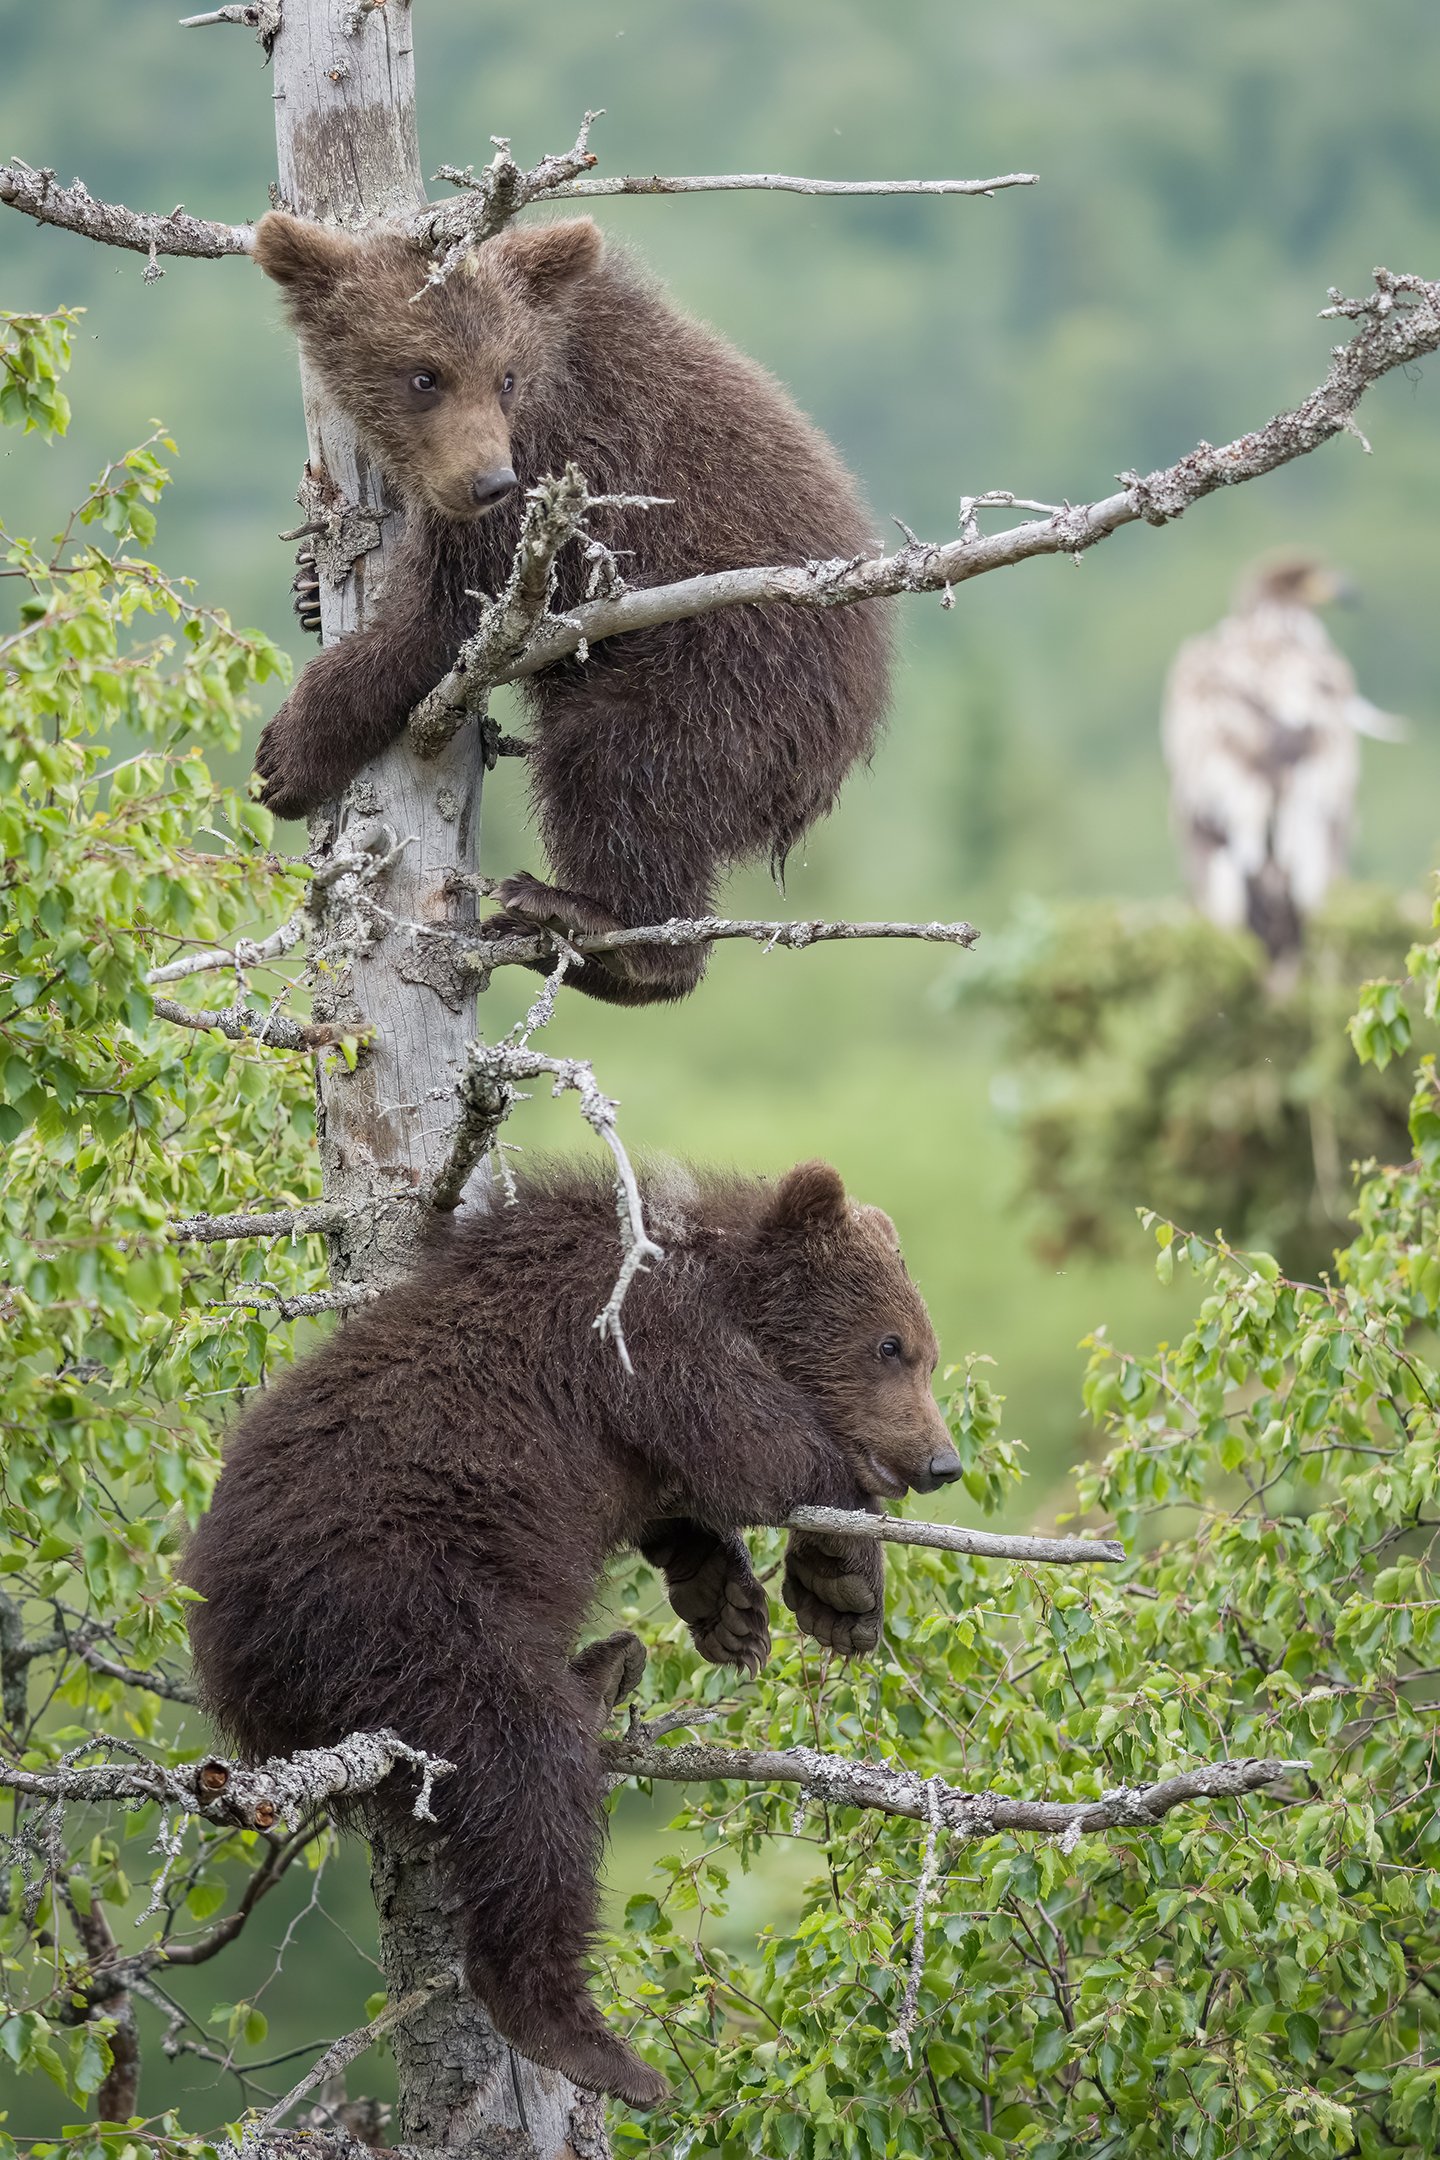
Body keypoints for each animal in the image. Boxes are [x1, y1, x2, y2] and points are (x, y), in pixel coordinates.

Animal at [183, 1158, 959, 2109]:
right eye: (891, 1345)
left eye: (924, 1349)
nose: (941, 1461)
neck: (725, 1291)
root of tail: (231, 1662)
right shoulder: (635, 1336)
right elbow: (755, 1446)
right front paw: (844, 1566)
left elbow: (682, 1492)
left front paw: (733, 1598)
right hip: (407, 1607)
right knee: (525, 1774)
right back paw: (593, 2044)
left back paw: (606, 1668)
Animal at [249, 210, 892, 1003]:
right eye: (424, 375)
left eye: (506, 377)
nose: (488, 481)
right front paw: (310, 584)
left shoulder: (564, 479)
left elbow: (444, 620)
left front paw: (289, 755)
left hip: (731, 665)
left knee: (619, 762)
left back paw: (593, 922)